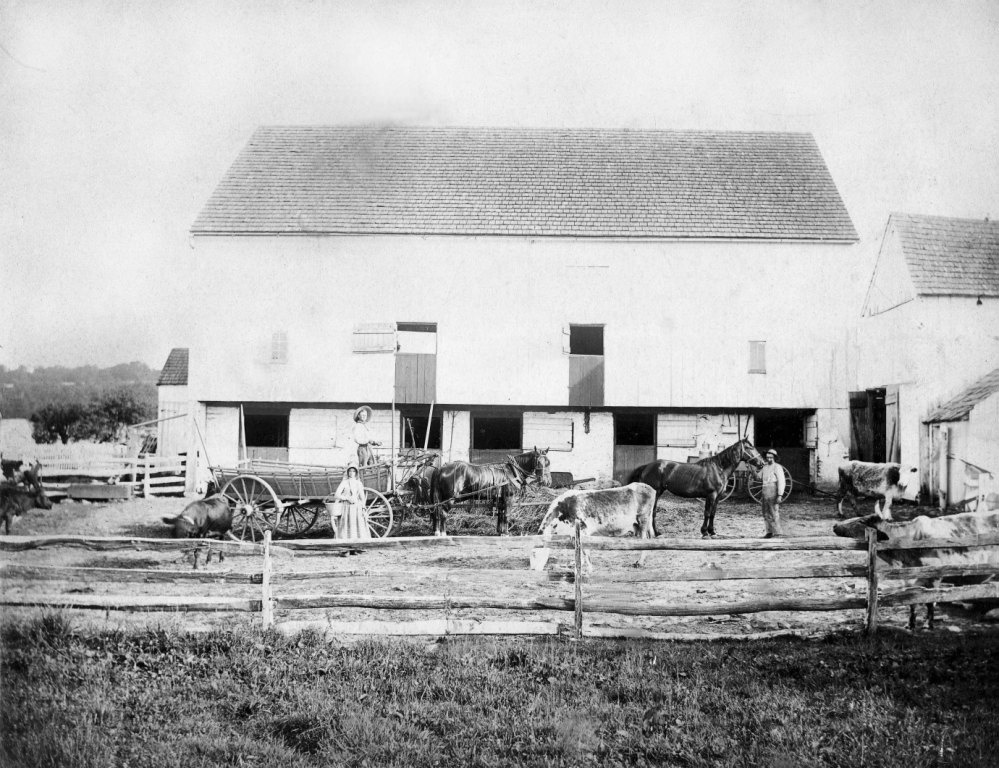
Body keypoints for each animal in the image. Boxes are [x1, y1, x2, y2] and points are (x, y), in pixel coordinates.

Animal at [624, 438, 764, 540]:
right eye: (750, 447)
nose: (762, 463)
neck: (718, 468)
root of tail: (646, 466)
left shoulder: (717, 497)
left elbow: (713, 513)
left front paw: (712, 532)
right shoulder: (711, 495)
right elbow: (707, 513)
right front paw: (705, 533)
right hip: (655, 493)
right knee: (649, 512)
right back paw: (653, 533)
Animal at [832, 510, 999, 632]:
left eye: (861, 521)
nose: (835, 525)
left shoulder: (936, 575)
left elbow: (930, 601)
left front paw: (928, 625)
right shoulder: (909, 578)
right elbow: (912, 602)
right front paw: (910, 625)